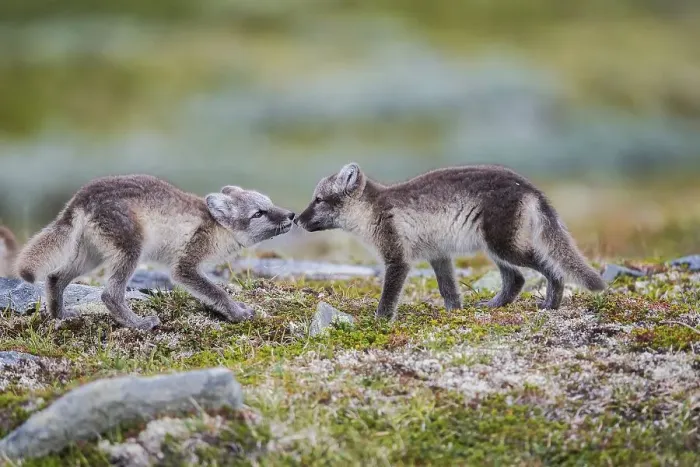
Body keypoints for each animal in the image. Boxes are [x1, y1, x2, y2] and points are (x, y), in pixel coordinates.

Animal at [15, 175, 295, 330]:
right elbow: (216, 291)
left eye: (270, 204)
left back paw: (60, 315)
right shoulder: (186, 266)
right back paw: (138, 324)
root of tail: (80, 198)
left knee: (54, 277)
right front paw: (237, 313)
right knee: (109, 295)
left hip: (89, 257)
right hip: (130, 251)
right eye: (258, 213)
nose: (292, 215)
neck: (218, 227)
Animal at [296, 163, 605, 319]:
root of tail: (529, 187)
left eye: (318, 200)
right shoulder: (439, 254)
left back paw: (551, 304)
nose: (297, 219)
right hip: (495, 247)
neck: (372, 210)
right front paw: (454, 313)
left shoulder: (397, 258)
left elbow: (388, 297)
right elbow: (449, 289)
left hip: (502, 245)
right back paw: (493, 306)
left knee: (549, 267)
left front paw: (380, 322)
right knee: (516, 279)